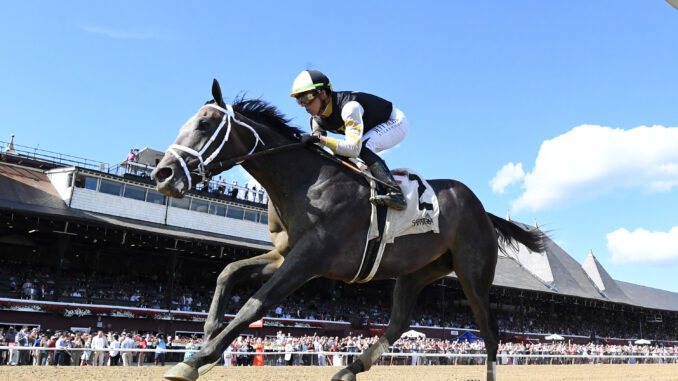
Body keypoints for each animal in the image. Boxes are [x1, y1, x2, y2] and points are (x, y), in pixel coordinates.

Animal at [151, 78, 544, 378]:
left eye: (203, 125)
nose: (162, 173)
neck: (305, 182)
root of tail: (483, 210)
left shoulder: (309, 260)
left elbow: (255, 304)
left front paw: (197, 359)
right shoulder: (284, 254)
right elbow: (228, 272)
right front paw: (207, 338)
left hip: (472, 273)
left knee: (491, 333)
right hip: (417, 270)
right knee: (398, 323)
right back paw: (349, 368)